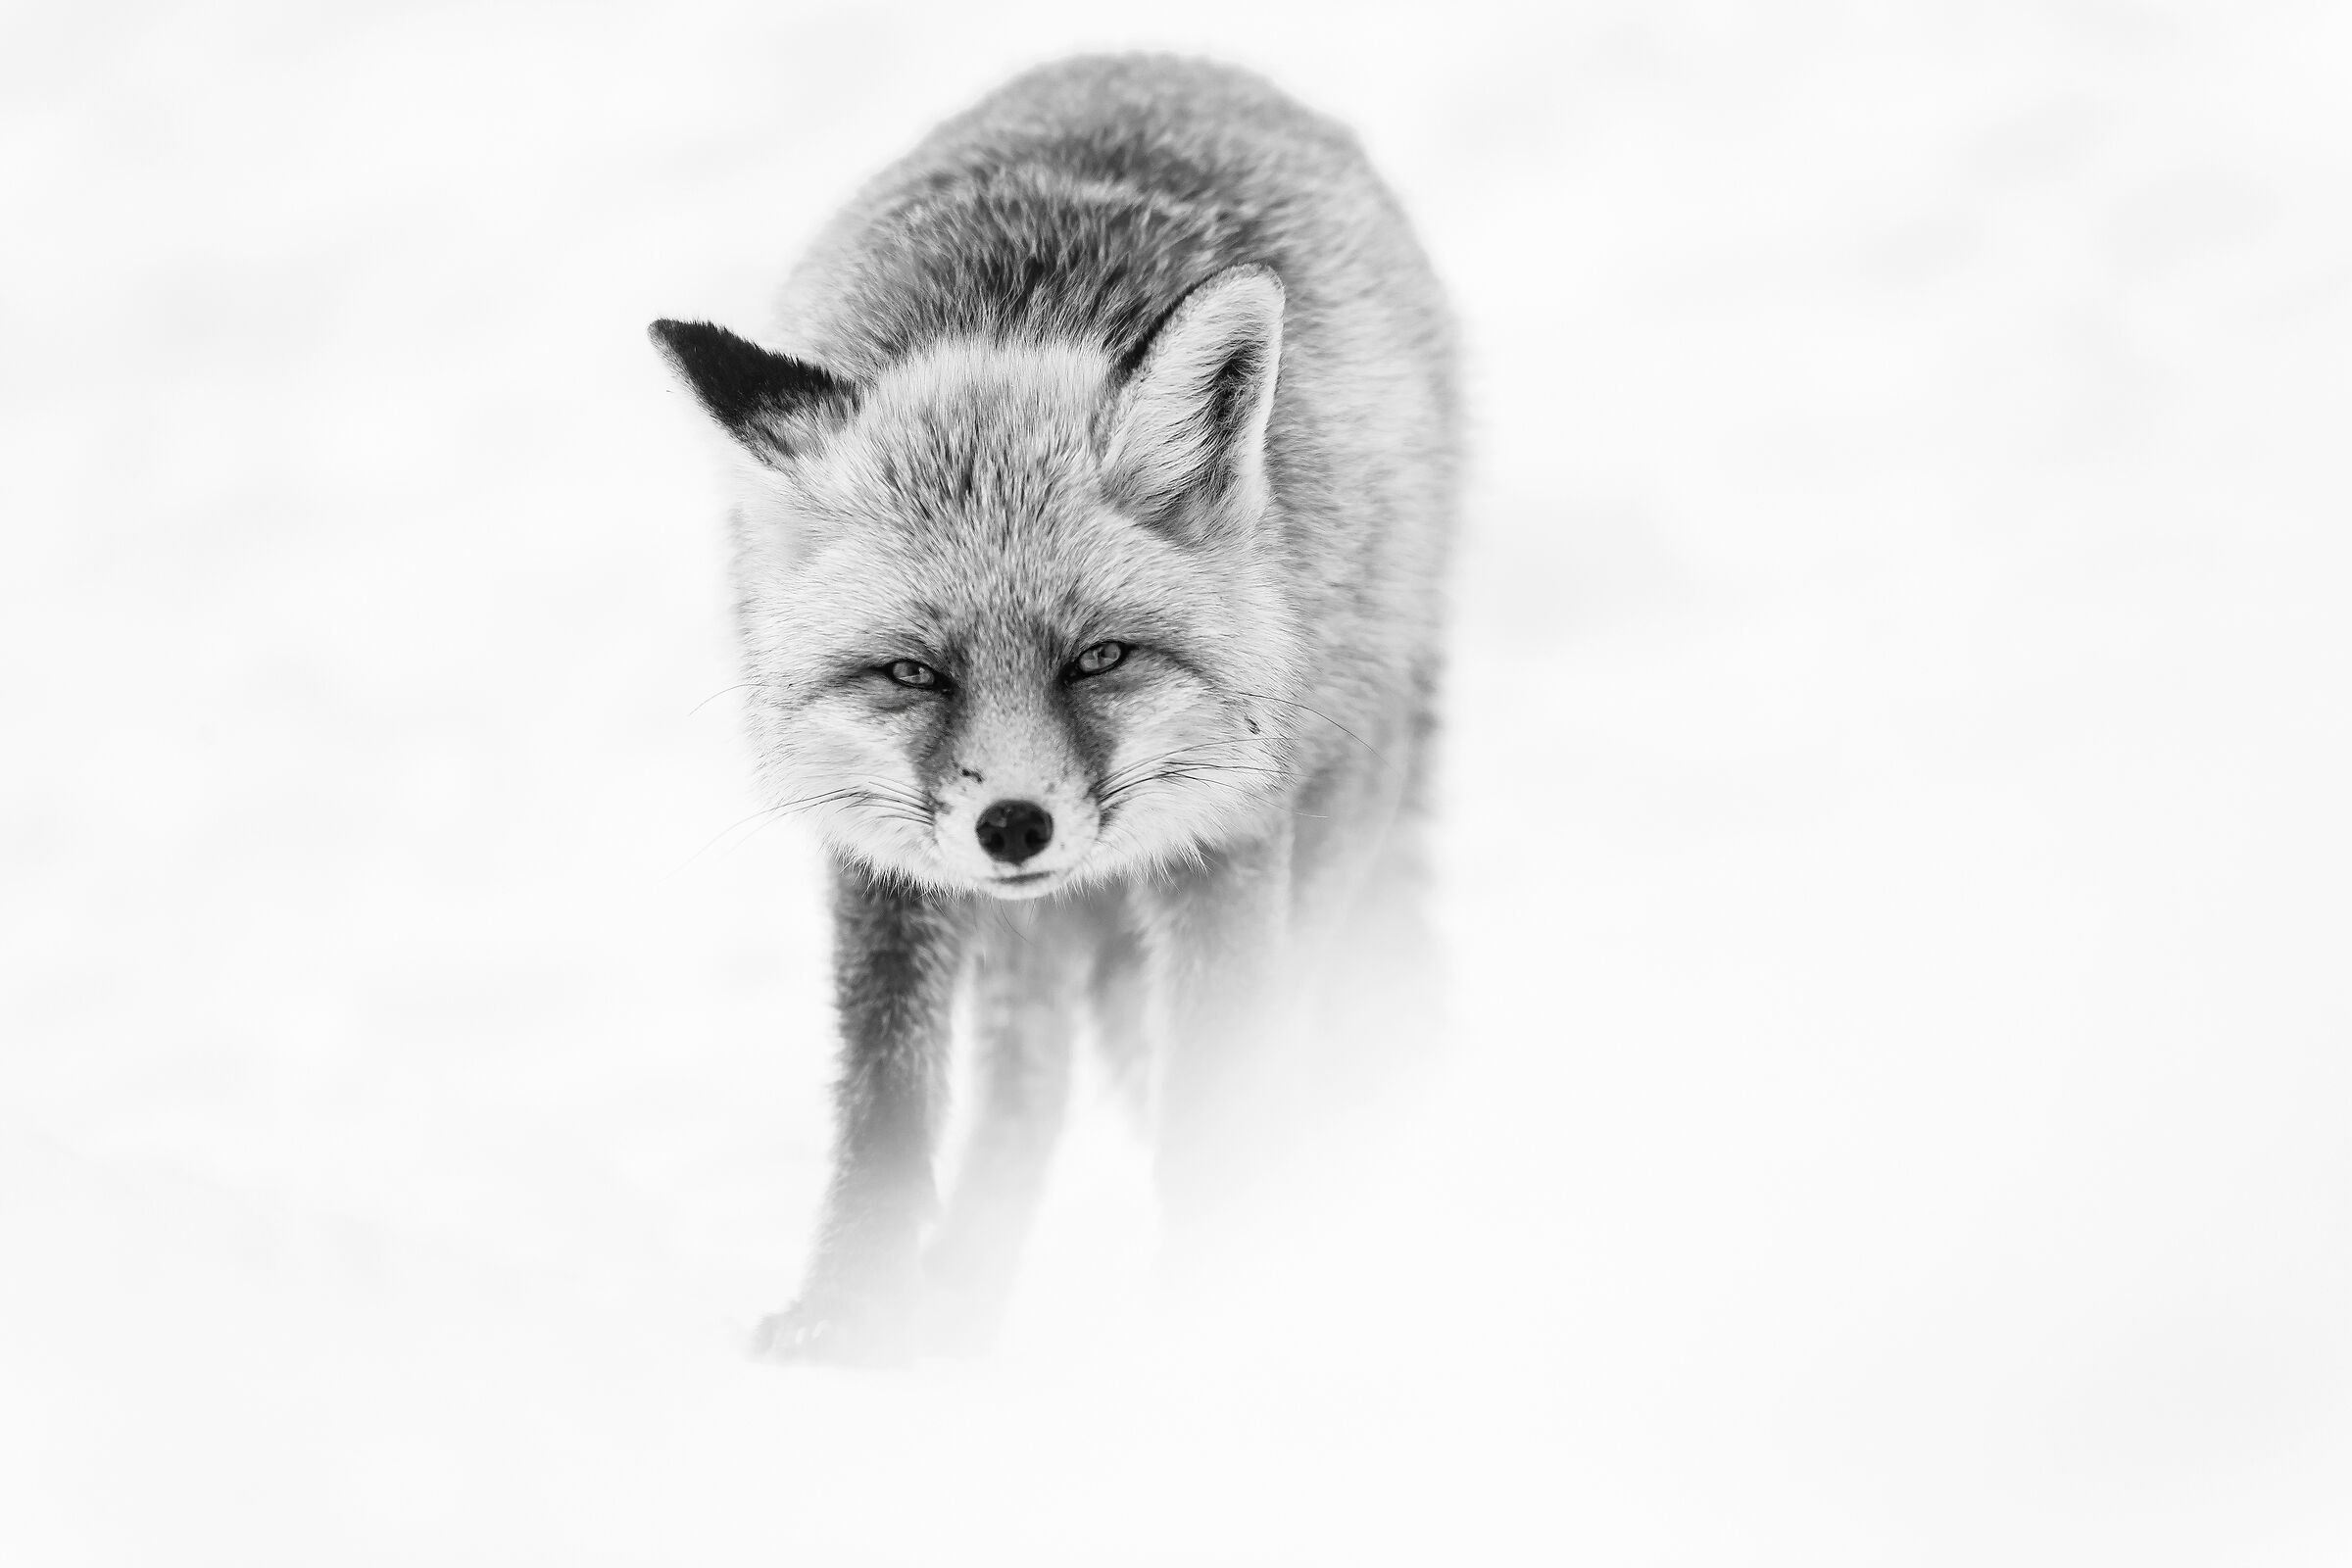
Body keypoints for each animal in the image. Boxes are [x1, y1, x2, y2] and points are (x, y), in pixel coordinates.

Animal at [651, 54, 1457, 1364]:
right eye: (912, 673)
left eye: (1101, 657)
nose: (1014, 828)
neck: (1013, 322)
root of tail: (1160, 59)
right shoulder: (881, 856)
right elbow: (885, 1103)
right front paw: (847, 1317)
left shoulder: (1226, 839)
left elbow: (1213, 1099)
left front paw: (1206, 1306)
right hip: (1026, 936)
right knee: (1025, 1086)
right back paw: (962, 1301)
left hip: (1338, 818)